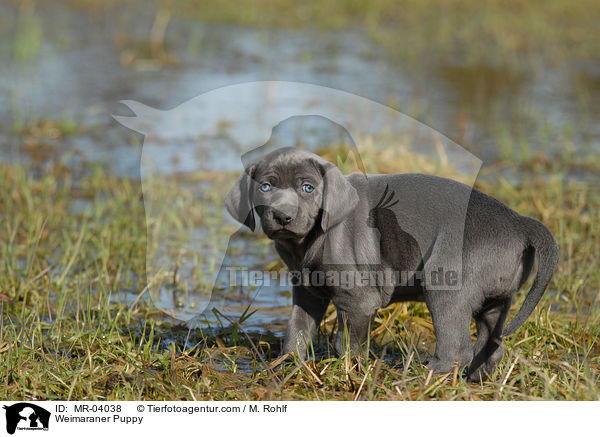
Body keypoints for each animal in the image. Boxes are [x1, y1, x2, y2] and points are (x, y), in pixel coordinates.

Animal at [224, 146, 556, 378]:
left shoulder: (358, 300)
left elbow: (348, 343)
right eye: (266, 187)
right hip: (496, 299)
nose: (283, 216)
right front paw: (289, 365)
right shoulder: (306, 291)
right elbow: (297, 329)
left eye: (308, 188)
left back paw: (421, 378)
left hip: (445, 285)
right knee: (491, 345)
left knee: (456, 347)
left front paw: (349, 372)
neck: (307, 241)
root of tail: (519, 221)